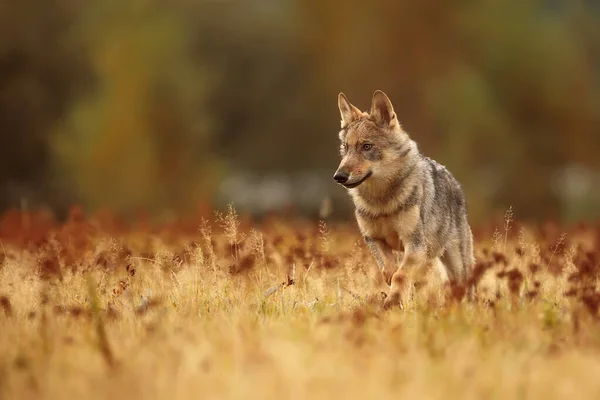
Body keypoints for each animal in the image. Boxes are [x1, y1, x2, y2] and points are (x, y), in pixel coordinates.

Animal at [332, 90, 474, 310]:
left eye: (366, 146)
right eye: (346, 148)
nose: (339, 176)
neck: (382, 201)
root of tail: (454, 181)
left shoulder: (415, 245)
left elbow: (400, 275)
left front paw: (392, 301)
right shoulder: (375, 239)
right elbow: (390, 271)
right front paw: (394, 296)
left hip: (458, 267)